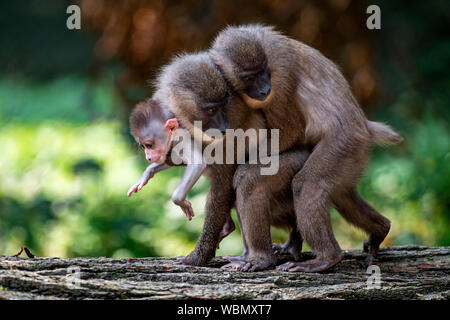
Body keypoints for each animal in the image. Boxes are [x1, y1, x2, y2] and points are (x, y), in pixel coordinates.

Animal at [209, 23, 402, 272]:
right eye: (250, 77)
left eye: (263, 72)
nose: (264, 89)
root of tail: (364, 126)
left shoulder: (280, 75)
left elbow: (291, 131)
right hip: (352, 157)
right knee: (344, 196)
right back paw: (380, 229)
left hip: (344, 144)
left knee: (303, 184)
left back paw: (324, 257)